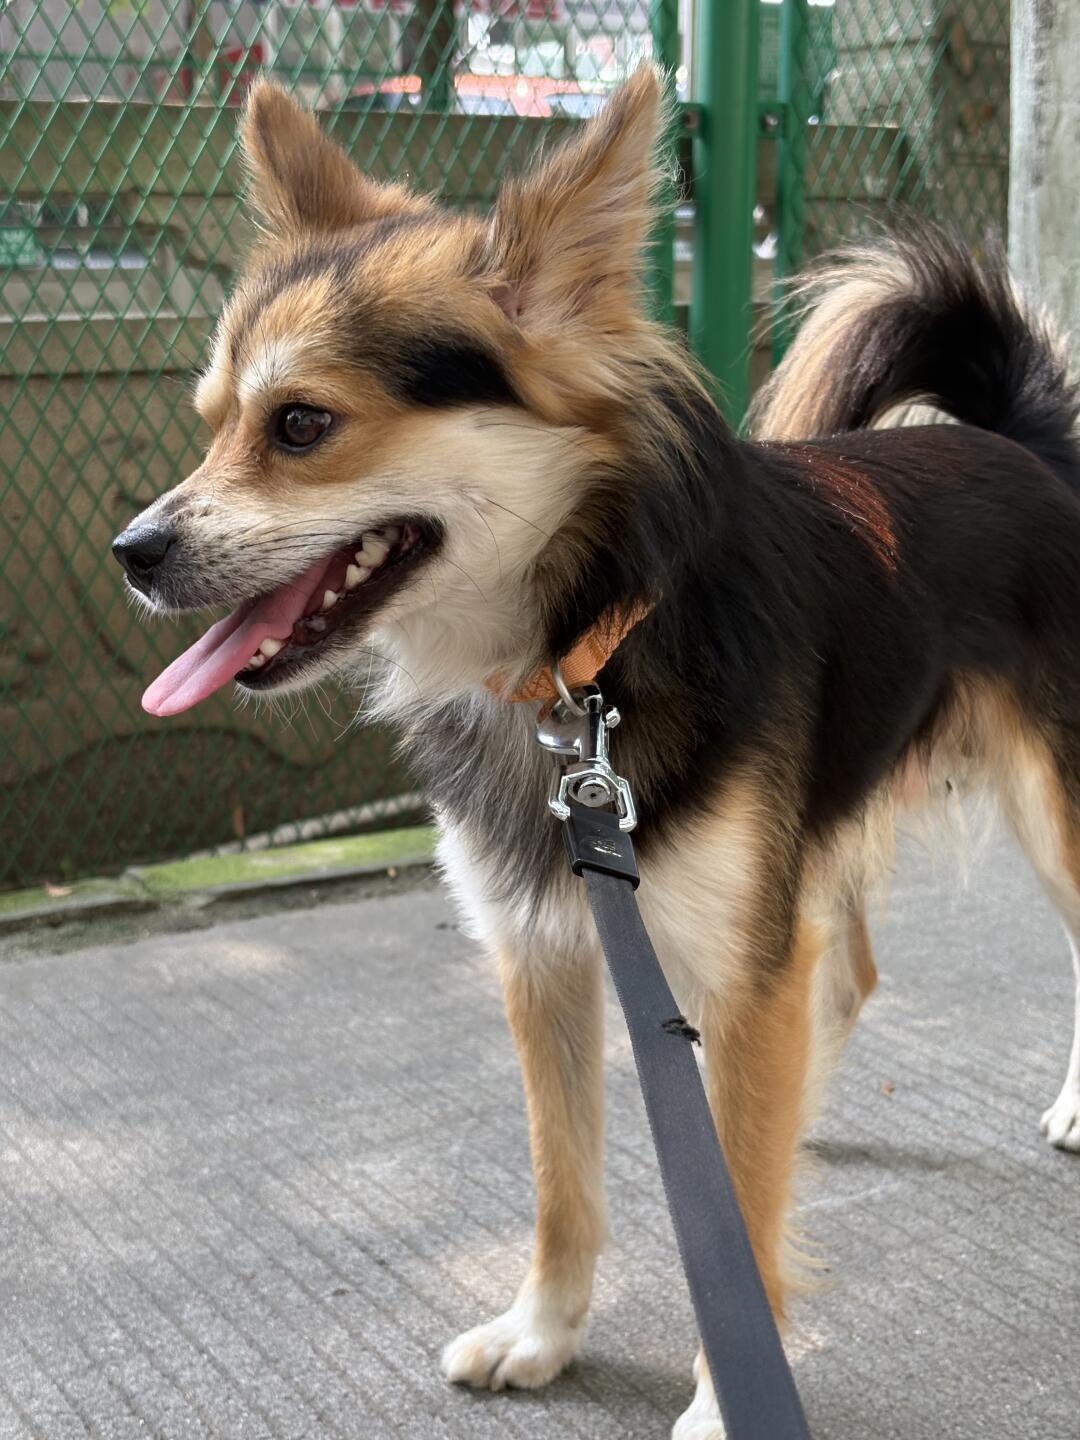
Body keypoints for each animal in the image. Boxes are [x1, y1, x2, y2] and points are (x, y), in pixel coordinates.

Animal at [112, 67, 1080, 1438]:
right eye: (210, 425)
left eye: (300, 425)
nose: (131, 555)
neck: (577, 660)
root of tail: (1022, 444)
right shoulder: (545, 949)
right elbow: (562, 1179)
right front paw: (544, 1332)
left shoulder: (734, 958)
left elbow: (734, 1199)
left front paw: (726, 1397)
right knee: (847, 973)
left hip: (1049, 804)